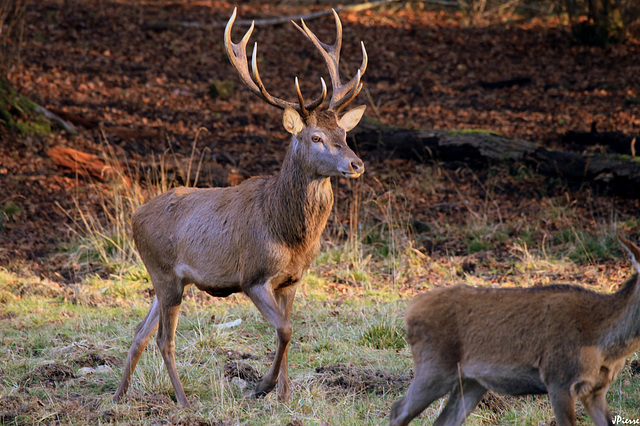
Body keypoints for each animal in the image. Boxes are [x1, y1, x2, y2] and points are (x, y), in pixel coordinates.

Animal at [112, 7, 368, 406]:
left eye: (344, 134)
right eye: (316, 137)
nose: (357, 164)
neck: (289, 233)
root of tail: (134, 217)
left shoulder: (292, 280)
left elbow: (288, 330)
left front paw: (284, 394)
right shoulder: (253, 276)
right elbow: (285, 329)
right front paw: (263, 387)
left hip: (167, 278)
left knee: (140, 331)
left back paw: (118, 396)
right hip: (164, 272)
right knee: (163, 339)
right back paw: (183, 401)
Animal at [388, 236, 640, 426]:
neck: (604, 343)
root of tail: (410, 309)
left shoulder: (596, 390)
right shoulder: (558, 379)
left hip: (471, 381)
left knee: (444, 420)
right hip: (434, 366)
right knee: (398, 410)